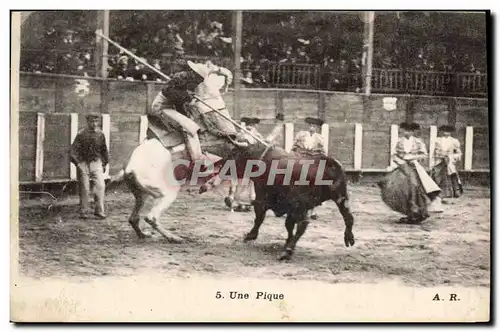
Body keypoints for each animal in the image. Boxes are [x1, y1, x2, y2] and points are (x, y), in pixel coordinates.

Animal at [199, 144, 356, 260]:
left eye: (233, 154)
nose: (219, 164)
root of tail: (327, 162)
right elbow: (288, 226)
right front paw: (286, 242)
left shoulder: (262, 198)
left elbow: (259, 218)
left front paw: (250, 235)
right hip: (341, 198)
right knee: (348, 218)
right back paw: (348, 237)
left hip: (302, 204)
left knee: (302, 224)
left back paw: (287, 251)